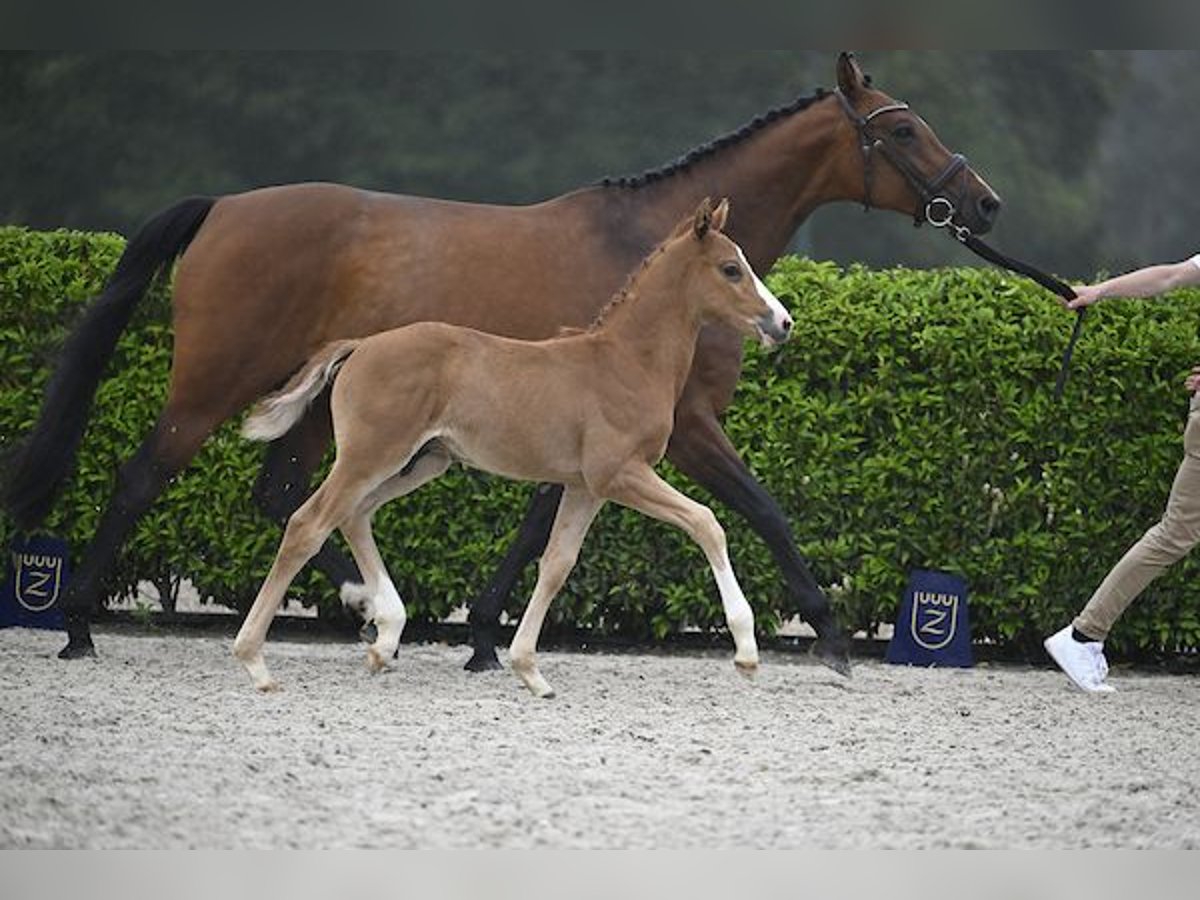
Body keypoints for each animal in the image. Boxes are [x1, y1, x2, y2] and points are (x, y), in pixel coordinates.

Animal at [235, 200, 792, 696]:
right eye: (731, 269)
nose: (782, 323)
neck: (627, 362)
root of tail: (361, 345)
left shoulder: (585, 487)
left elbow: (556, 564)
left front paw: (529, 670)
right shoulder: (620, 473)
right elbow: (707, 522)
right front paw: (746, 652)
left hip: (423, 461)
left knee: (354, 516)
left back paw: (385, 635)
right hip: (371, 455)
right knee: (308, 524)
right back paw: (256, 663)